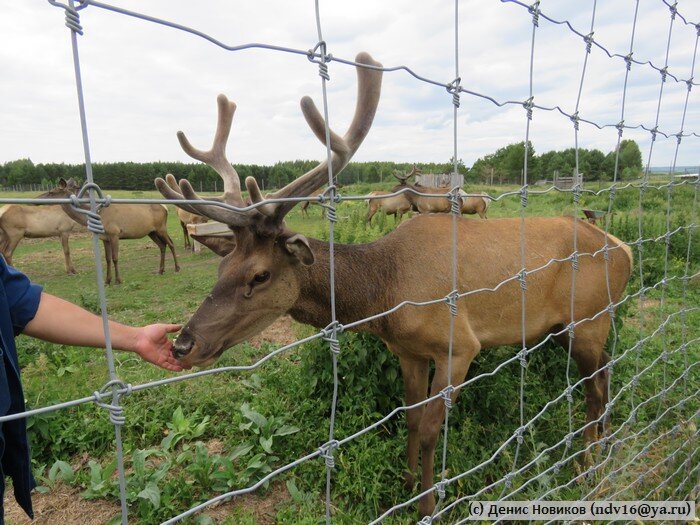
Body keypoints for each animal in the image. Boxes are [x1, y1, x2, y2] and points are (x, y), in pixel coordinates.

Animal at [38, 177, 182, 284]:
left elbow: (115, 258)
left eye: (51, 192)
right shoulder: (104, 238)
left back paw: (177, 268)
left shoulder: (115, 233)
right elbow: (107, 259)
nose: (38, 199)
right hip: (151, 232)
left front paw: (118, 280)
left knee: (171, 243)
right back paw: (160, 270)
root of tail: (165, 208)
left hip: (161, 227)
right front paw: (107, 280)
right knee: (162, 245)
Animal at [154, 51, 636, 516]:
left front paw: (427, 503)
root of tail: (624, 249)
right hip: (569, 326)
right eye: (221, 269)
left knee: (596, 383)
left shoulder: (459, 345)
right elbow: (409, 417)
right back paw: (605, 438)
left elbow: (430, 429)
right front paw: (404, 486)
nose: (183, 344)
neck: (384, 293)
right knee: (606, 367)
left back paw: (588, 460)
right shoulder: (407, 350)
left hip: (589, 317)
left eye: (260, 274)